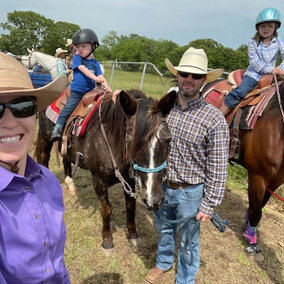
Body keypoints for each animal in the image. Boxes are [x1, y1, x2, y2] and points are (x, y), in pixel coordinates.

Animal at [34, 89, 176, 251]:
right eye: (132, 142)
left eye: (168, 140)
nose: (154, 200)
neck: (110, 137)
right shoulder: (98, 180)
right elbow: (106, 209)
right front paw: (107, 240)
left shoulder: (129, 179)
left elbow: (130, 206)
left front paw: (133, 235)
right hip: (45, 139)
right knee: (44, 159)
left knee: (65, 159)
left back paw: (70, 186)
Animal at [202, 77, 284, 255]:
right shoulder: (258, 176)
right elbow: (256, 210)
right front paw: (252, 241)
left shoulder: (275, 182)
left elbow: (261, 204)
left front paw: (247, 226)